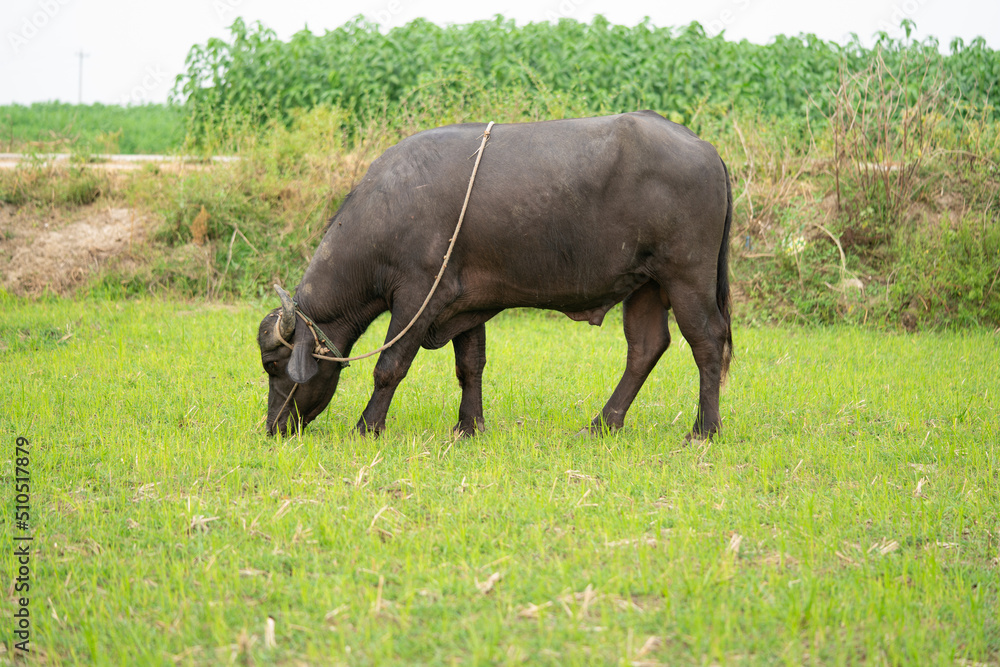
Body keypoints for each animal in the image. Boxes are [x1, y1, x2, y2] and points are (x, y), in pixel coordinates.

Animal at [257, 111, 733, 440]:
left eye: (272, 364)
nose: (274, 427)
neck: (389, 210)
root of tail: (705, 148)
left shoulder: (418, 296)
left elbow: (390, 366)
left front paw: (367, 427)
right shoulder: (463, 302)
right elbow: (470, 365)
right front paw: (469, 426)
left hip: (687, 275)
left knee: (707, 341)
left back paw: (703, 429)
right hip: (647, 283)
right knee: (646, 347)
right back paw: (602, 424)